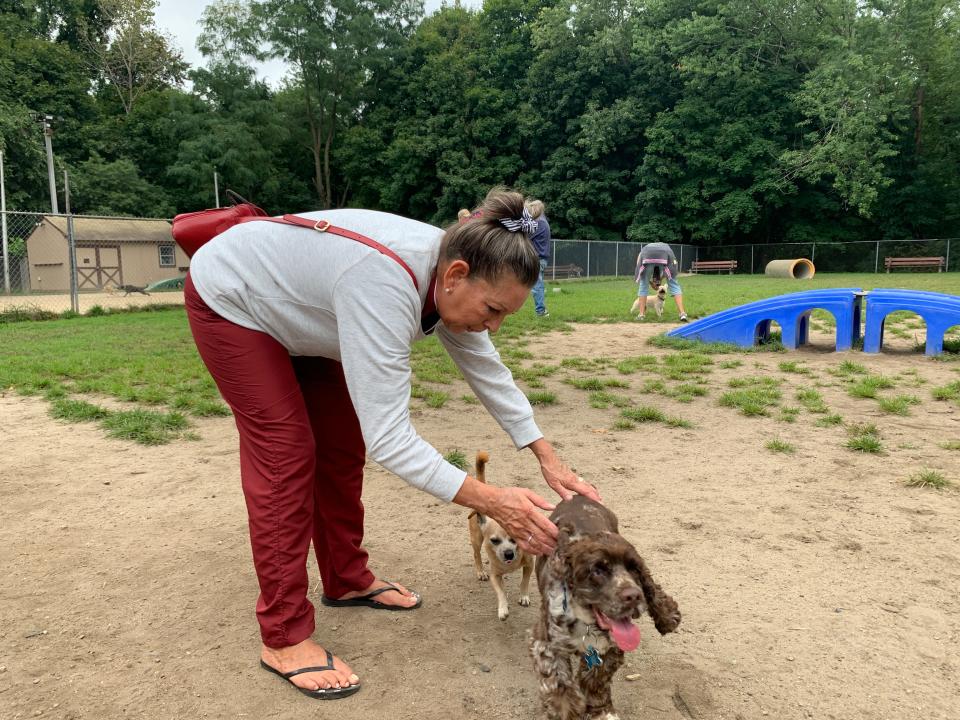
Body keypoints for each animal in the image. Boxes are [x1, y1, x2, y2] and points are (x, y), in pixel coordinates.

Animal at [468, 452, 536, 620]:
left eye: (515, 539)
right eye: (494, 540)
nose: (509, 553)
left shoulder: (530, 565)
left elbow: (524, 582)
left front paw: (524, 596)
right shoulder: (495, 575)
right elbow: (501, 592)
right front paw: (503, 608)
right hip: (476, 539)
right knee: (476, 554)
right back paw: (480, 571)